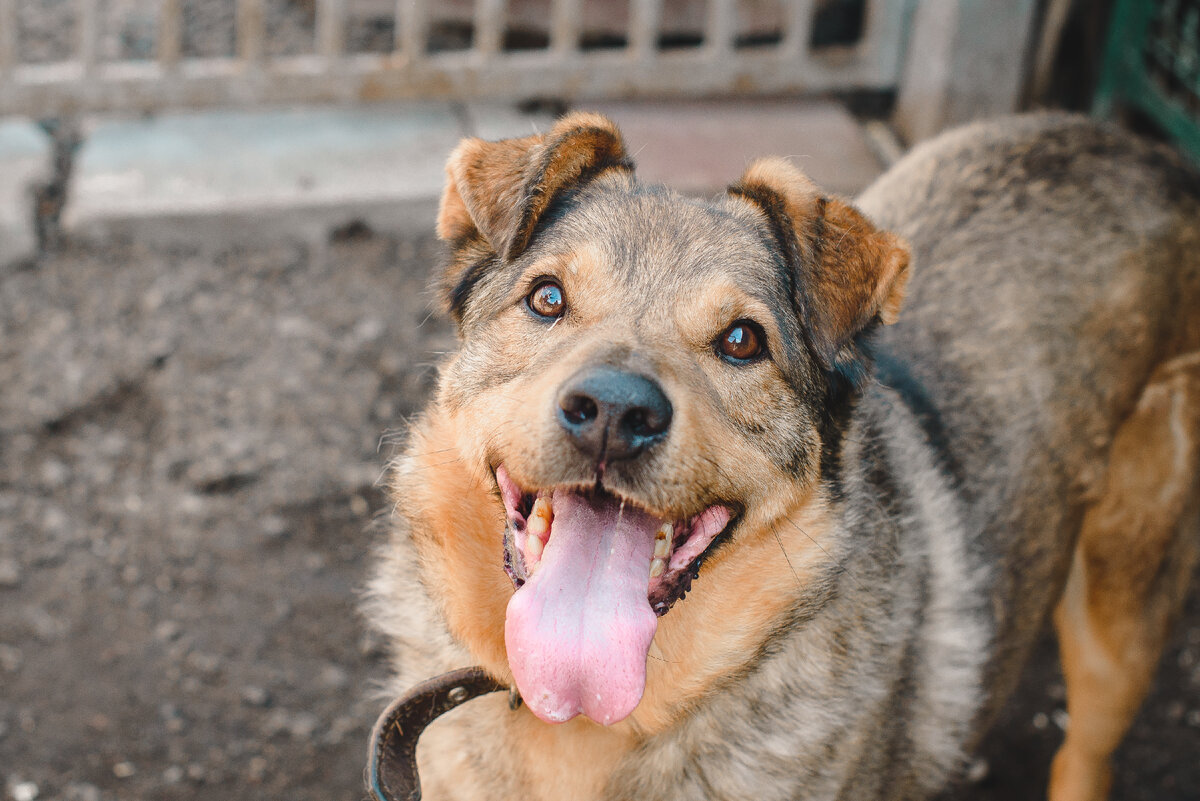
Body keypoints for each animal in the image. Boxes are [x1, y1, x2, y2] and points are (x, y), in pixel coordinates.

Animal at [364, 107, 1200, 801]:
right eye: (545, 299)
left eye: (742, 340)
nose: (613, 412)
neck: (581, 717)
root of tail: (1140, 145)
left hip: (1121, 610)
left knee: (1087, 750)